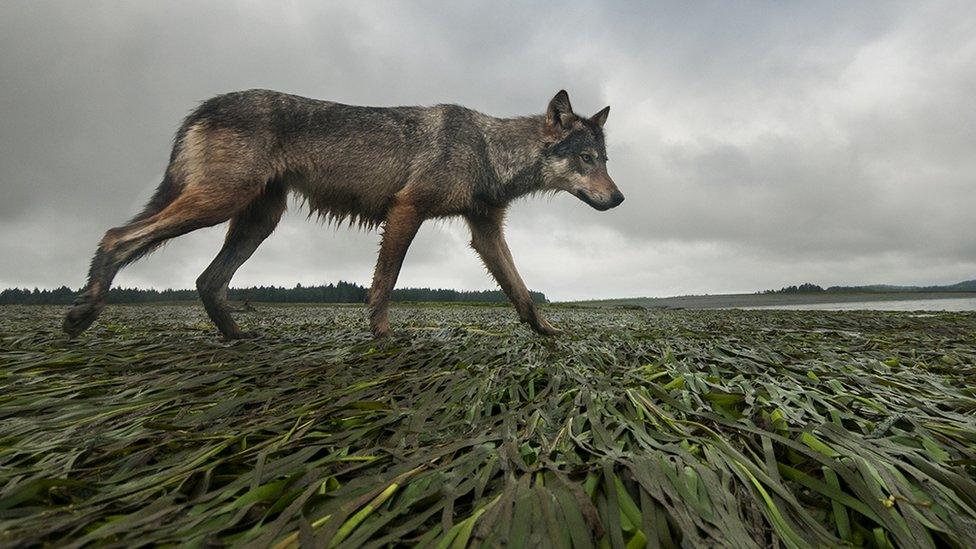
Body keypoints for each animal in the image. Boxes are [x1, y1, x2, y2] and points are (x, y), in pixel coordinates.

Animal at [63, 89, 624, 338]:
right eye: (586, 159)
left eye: (605, 160)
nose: (619, 199)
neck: (487, 150)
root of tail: (202, 106)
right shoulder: (406, 211)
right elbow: (385, 283)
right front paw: (383, 338)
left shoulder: (485, 232)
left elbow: (521, 290)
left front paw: (550, 335)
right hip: (217, 205)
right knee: (116, 236)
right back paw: (82, 313)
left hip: (257, 221)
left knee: (206, 280)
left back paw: (240, 339)